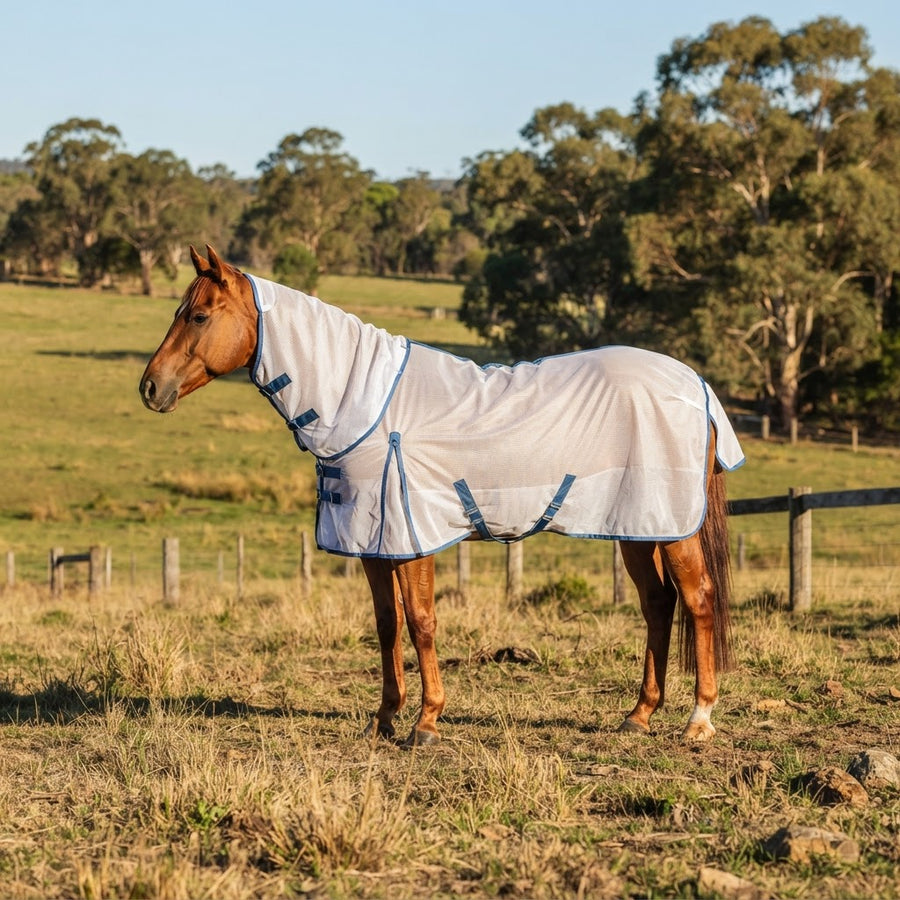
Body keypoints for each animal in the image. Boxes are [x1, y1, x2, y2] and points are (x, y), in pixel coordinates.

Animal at [140, 245, 745, 747]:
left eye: (198, 315)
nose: (149, 387)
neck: (366, 406)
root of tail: (695, 384)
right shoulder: (373, 543)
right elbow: (387, 626)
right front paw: (383, 719)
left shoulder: (412, 538)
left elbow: (422, 621)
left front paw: (427, 722)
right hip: (638, 528)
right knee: (658, 604)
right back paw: (638, 715)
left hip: (672, 527)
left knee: (698, 599)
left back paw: (699, 720)